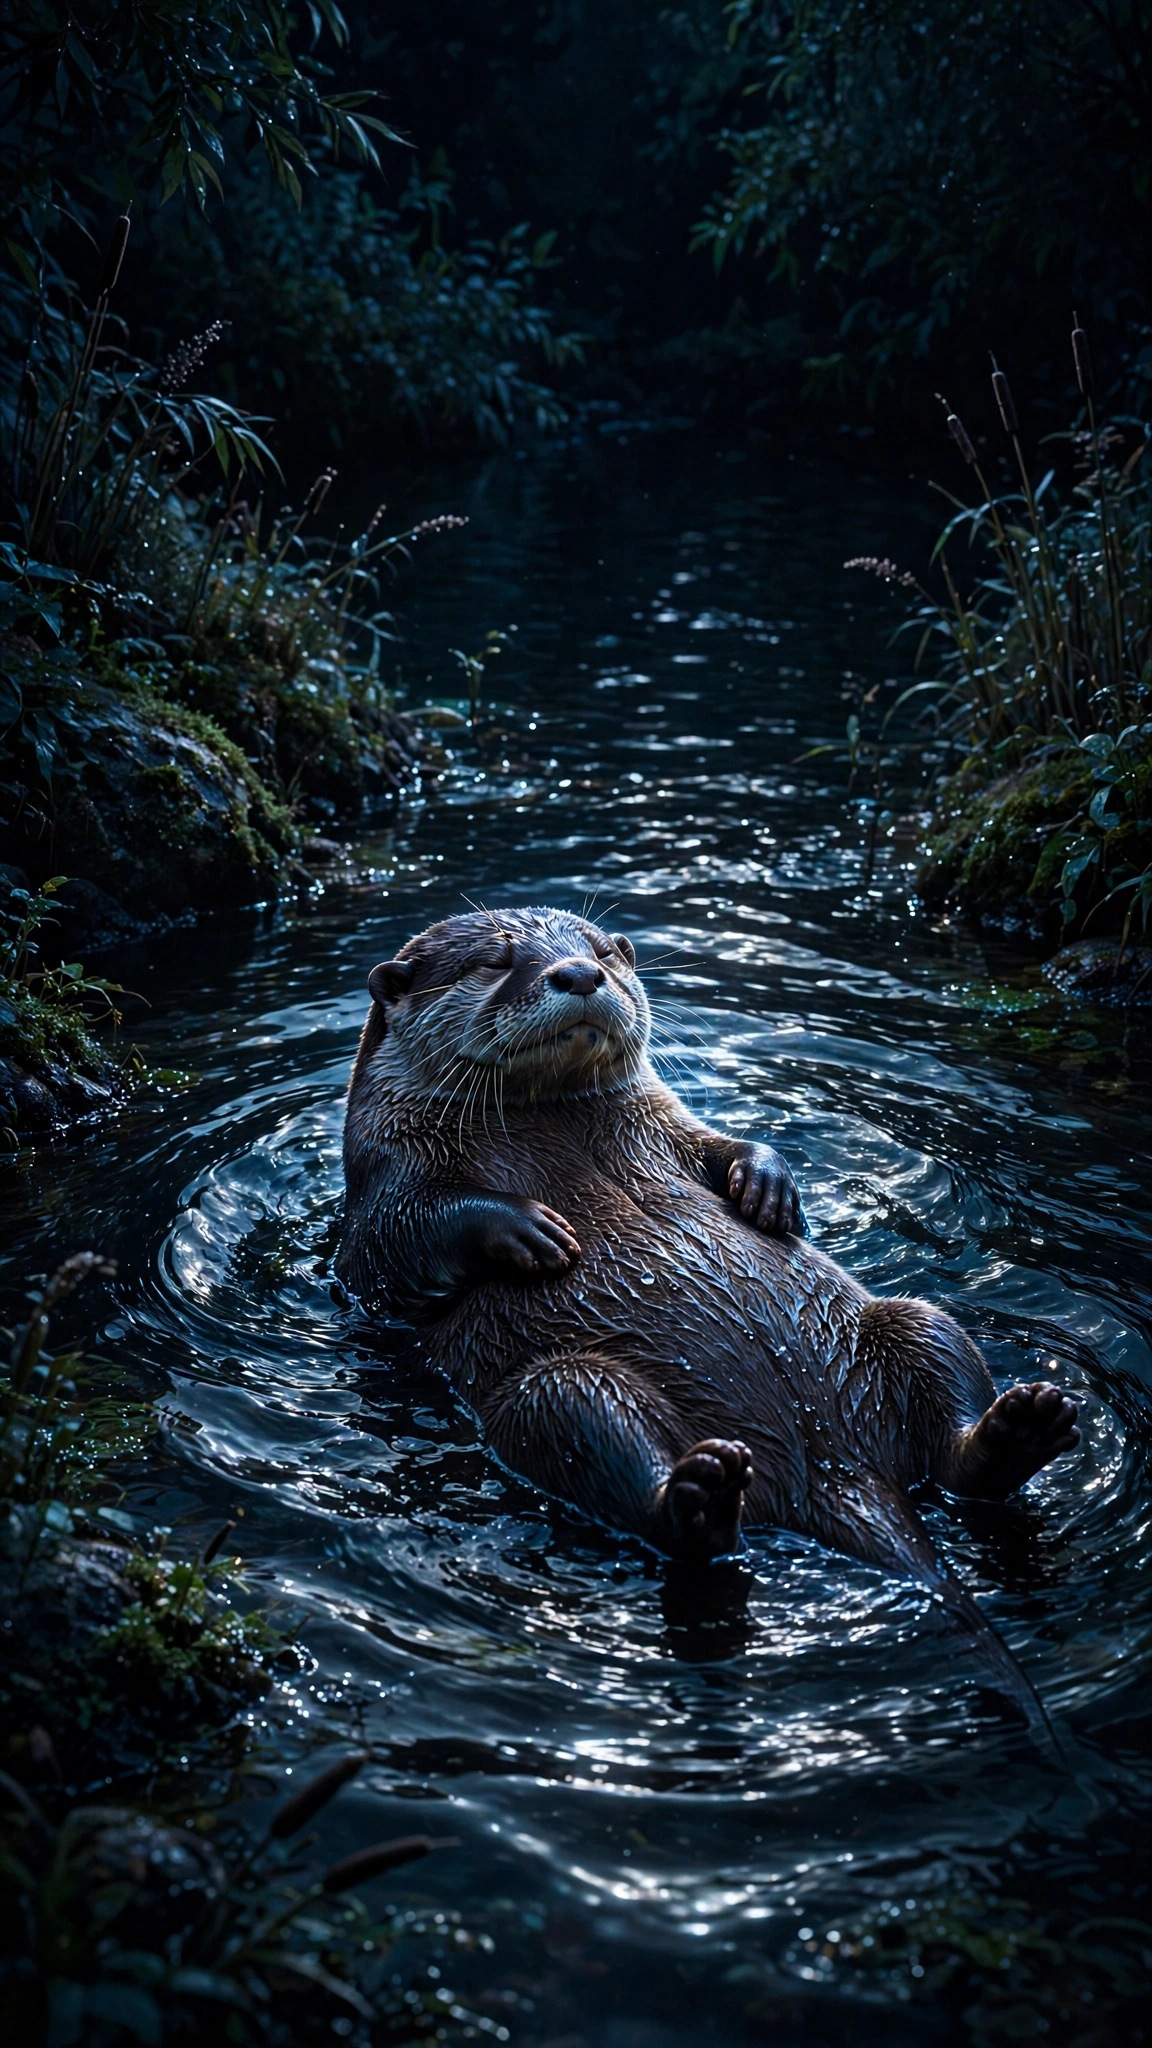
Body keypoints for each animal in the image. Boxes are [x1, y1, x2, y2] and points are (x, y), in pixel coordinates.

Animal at [337, 906, 1079, 1734]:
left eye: (600, 952)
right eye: (497, 962)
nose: (579, 974)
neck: (554, 1126)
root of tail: (832, 1468)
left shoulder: (678, 1128)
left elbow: (726, 1143)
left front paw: (769, 1187)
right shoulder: (381, 1190)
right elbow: (398, 1242)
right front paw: (528, 1228)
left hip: (912, 1322)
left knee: (949, 1433)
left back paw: (1021, 1429)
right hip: (565, 1388)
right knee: (618, 1461)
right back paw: (701, 1497)